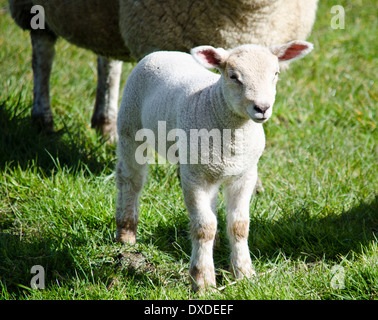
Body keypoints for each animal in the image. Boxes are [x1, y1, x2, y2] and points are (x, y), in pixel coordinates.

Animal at [7, 0, 318, 141]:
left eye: (276, 74)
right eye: (233, 76)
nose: (262, 108)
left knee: (107, 60)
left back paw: (106, 125)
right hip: (33, 8)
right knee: (42, 54)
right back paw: (43, 119)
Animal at [116, 39, 314, 290]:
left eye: (275, 74)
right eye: (233, 76)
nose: (262, 108)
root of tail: (163, 52)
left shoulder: (245, 174)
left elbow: (239, 225)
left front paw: (244, 274)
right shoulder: (193, 176)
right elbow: (204, 228)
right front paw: (203, 281)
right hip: (130, 126)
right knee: (131, 180)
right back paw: (126, 235)